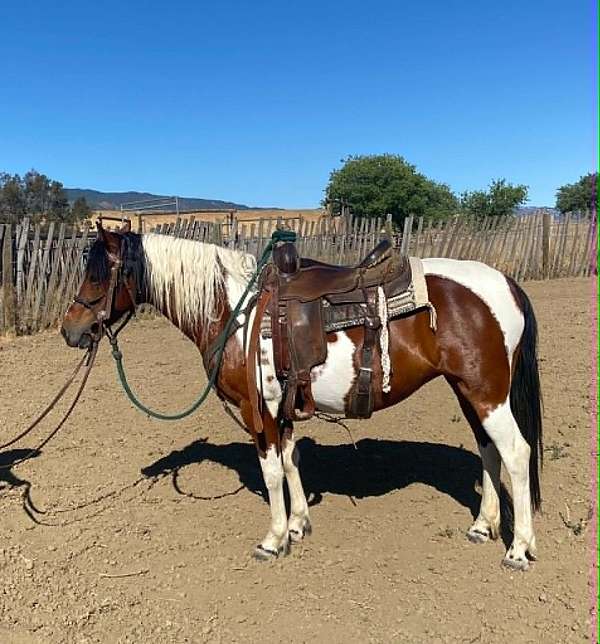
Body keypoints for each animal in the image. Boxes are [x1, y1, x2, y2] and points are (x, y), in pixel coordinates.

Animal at [61, 220, 543, 570]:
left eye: (98, 276)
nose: (70, 330)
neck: (234, 311)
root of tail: (507, 284)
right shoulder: (286, 407)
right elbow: (291, 460)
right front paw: (297, 525)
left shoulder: (259, 411)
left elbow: (271, 470)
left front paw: (273, 539)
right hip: (468, 391)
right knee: (488, 449)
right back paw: (483, 525)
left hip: (488, 393)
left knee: (516, 453)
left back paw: (518, 548)